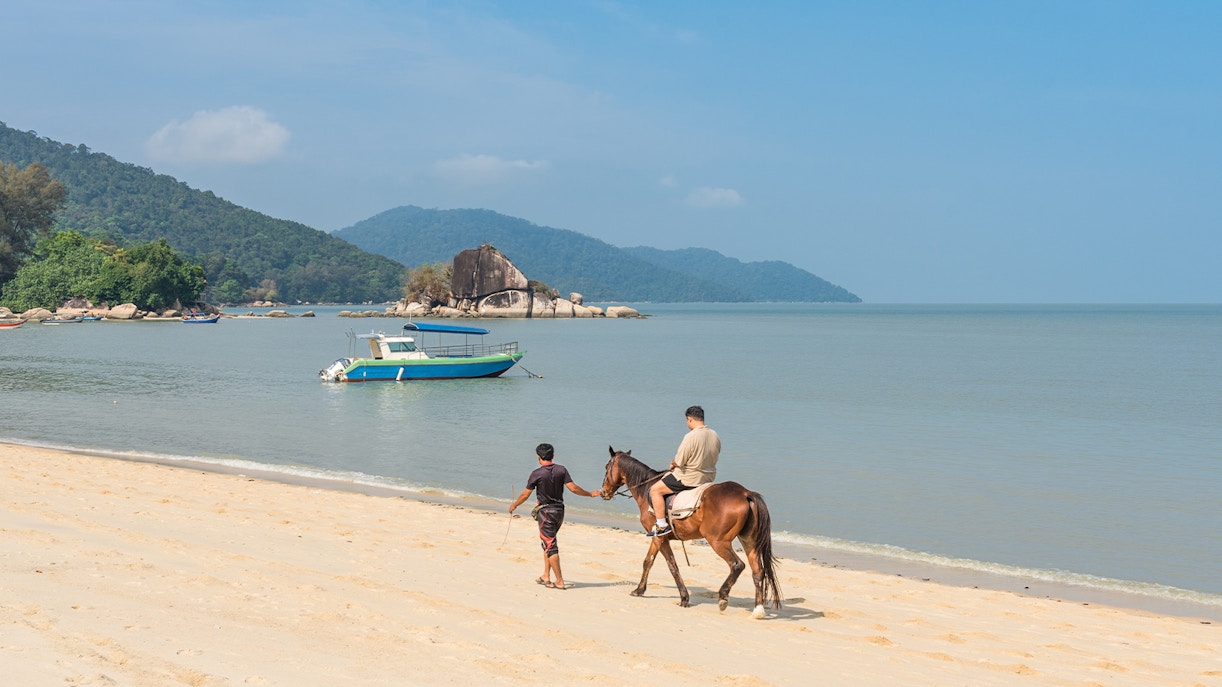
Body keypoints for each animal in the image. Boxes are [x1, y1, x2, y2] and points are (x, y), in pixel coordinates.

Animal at [601, 446, 782, 618]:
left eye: (606, 467)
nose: (603, 492)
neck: (647, 489)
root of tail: (745, 493)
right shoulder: (661, 539)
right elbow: (661, 563)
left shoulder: (659, 537)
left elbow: (658, 563)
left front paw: (647, 591)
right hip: (748, 542)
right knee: (758, 571)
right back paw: (758, 610)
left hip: (718, 541)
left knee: (737, 565)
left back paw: (723, 596)